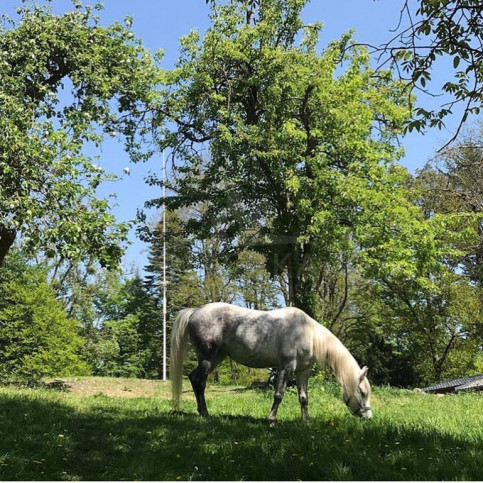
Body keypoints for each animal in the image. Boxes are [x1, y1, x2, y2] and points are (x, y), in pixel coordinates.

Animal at [171, 304, 374, 422]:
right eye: (363, 392)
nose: (369, 417)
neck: (307, 333)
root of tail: (195, 312)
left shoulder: (302, 372)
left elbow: (304, 397)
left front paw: (305, 421)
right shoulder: (286, 367)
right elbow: (278, 394)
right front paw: (271, 420)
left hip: (216, 358)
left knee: (193, 378)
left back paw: (201, 412)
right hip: (207, 357)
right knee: (200, 382)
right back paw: (205, 414)